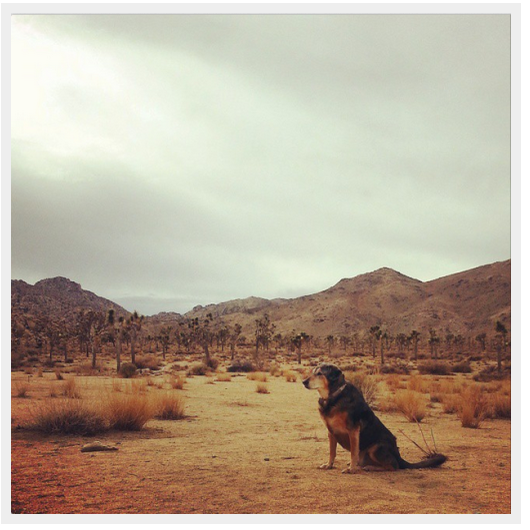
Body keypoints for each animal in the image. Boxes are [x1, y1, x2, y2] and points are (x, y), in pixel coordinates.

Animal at [302, 364, 446, 470]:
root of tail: (398, 456)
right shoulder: (331, 432)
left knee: (393, 466)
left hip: (376, 448)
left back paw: (370, 468)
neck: (333, 396)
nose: (304, 382)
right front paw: (329, 465)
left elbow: (353, 452)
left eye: (319, 374)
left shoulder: (353, 430)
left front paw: (351, 469)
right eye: (312, 372)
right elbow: (332, 452)